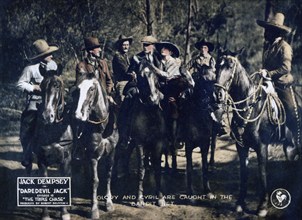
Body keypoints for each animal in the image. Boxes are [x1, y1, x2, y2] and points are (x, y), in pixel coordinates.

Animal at [28, 74, 73, 220]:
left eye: (57, 86)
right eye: (42, 87)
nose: (47, 116)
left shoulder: (66, 160)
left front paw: (64, 213)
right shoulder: (42, 160)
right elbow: (44, 184)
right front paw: (45, 214)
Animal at [72, 73, 118, 219]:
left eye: (92, 89)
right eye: (78, 89)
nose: (78, 115)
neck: (102, 126)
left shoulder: (111, 153)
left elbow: (108, 176)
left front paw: (109, 203)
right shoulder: (93, 156)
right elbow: (95, 180)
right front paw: (94, 209)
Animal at [214, 48, 300, 217]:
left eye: (230, 65)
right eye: (216, 66)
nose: (218, 94)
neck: (250, 106)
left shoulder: (262, 147)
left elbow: (262, 173)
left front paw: (262, 207)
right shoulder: (241, 147)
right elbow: (244, 173)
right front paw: (240, 204)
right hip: (289, 147)